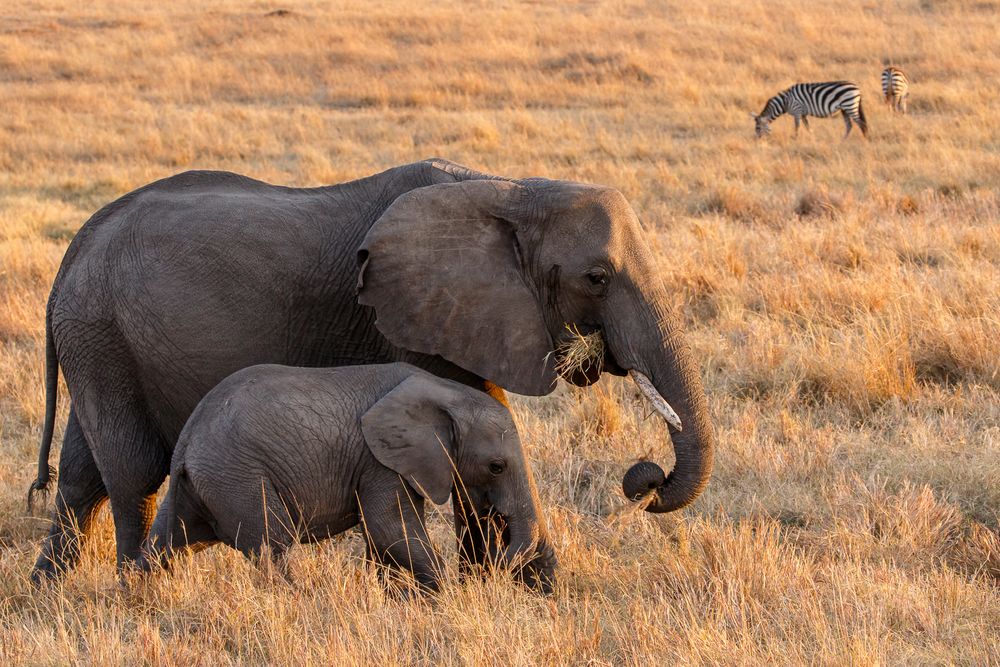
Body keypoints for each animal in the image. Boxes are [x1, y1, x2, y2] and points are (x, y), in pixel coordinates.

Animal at [143, 362, 556, 596]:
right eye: (496, 466)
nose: (495, 565)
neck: (444, 392)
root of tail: (186, 441)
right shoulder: (378, 461)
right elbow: (391, 529)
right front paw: (444, 597)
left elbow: (384, 538)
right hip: (239, 478)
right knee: (273, 548)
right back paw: (299, 602)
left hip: (207, 484)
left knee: (165, 545)